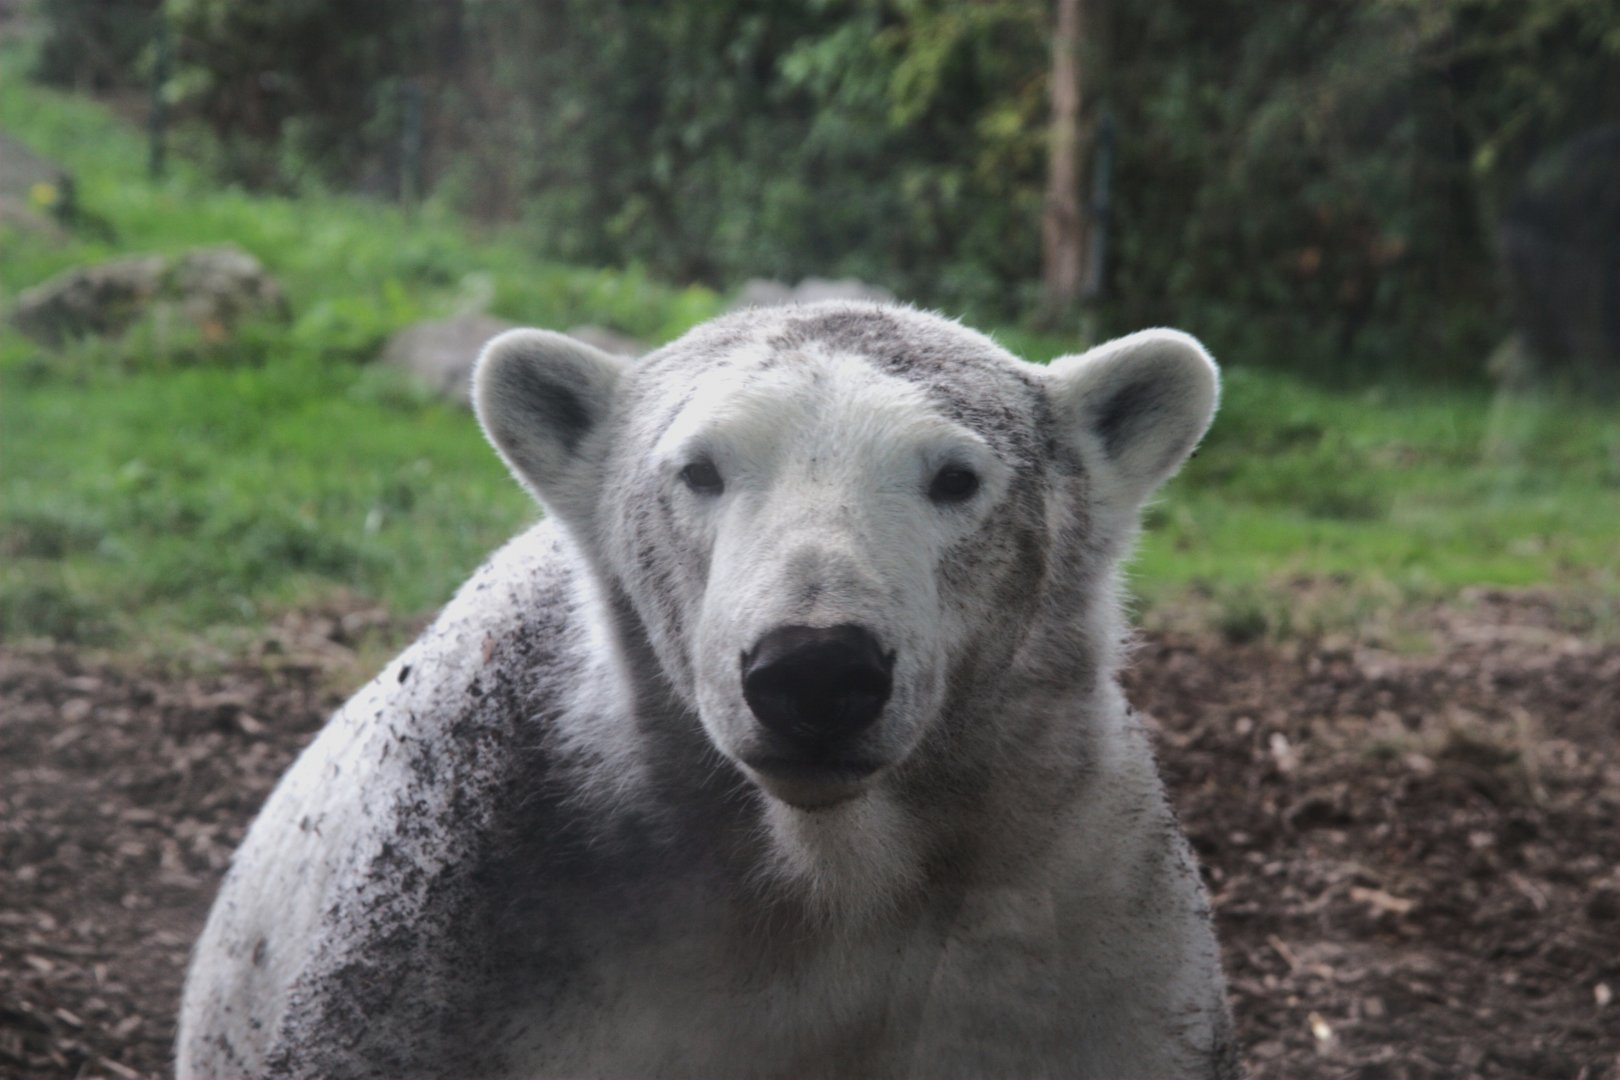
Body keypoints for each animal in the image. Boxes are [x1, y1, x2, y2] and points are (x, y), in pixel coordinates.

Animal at [176, 301, 1237, 1079]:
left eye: (955, 477)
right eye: (699, 469)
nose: (816, 668)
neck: (819, 881)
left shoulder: (1069, 931)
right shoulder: (475, 936)